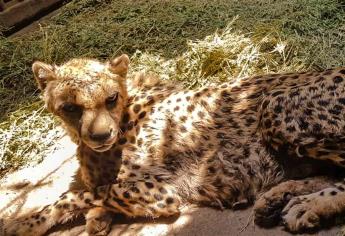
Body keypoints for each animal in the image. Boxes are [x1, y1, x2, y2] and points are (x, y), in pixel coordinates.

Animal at [5, 54, 345, 235]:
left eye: (110, 98)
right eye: (70, 107)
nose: (101, 136)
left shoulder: (162, 193)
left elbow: (81, 194)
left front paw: (28, 221)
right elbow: (93, 193)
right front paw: (96, 217)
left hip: (275, 106)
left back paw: (307, 205)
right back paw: (278, 198)